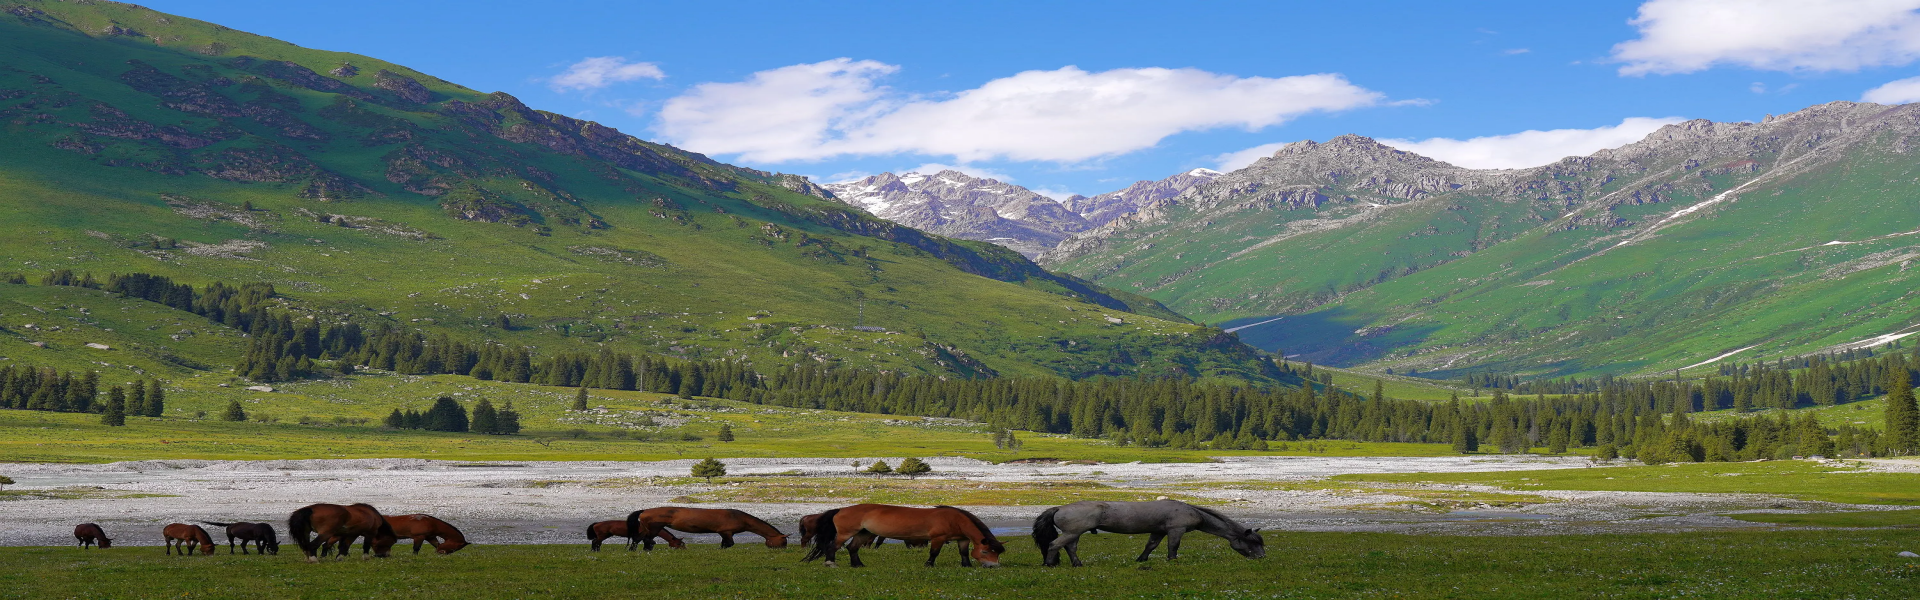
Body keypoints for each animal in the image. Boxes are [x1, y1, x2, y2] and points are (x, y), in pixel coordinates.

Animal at [625, 507, 783, 550]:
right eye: (784, 542)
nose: (783, 549)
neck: (740, 517)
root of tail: (644, 510)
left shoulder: (724, 533)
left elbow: (725, 543)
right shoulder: (725, 532)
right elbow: (729, 544)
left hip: (647, 528)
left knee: (639, 539)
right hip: (654, 528)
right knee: (647, 540)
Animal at [798, 500, 1006, 565]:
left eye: (997, 554)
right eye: (985, 551)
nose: (993, 566)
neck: (954, 519)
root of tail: (840, 509)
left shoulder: (962, 539)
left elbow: (964, 553)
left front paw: (967, 566)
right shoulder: (937, 538)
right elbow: (934, 553)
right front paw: (928, 565)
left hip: (863, 534)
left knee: (852, 549)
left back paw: (858, 565)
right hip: (846, 533)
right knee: (833, 547)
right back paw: (830, 563)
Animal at [1036, 496, 1259, 565]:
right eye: (1254, 542)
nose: (1261, 557)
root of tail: (1059, 508)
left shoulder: (1159, 531)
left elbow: (1150, 546)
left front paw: (1141, 560)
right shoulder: (1176, 530)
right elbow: (1173, 547)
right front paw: (1172, 561)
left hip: (1074, 534)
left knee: (1070, 548)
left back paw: (1078, 564)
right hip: (1072, 533)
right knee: (1054, 545)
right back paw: (1049, 564)